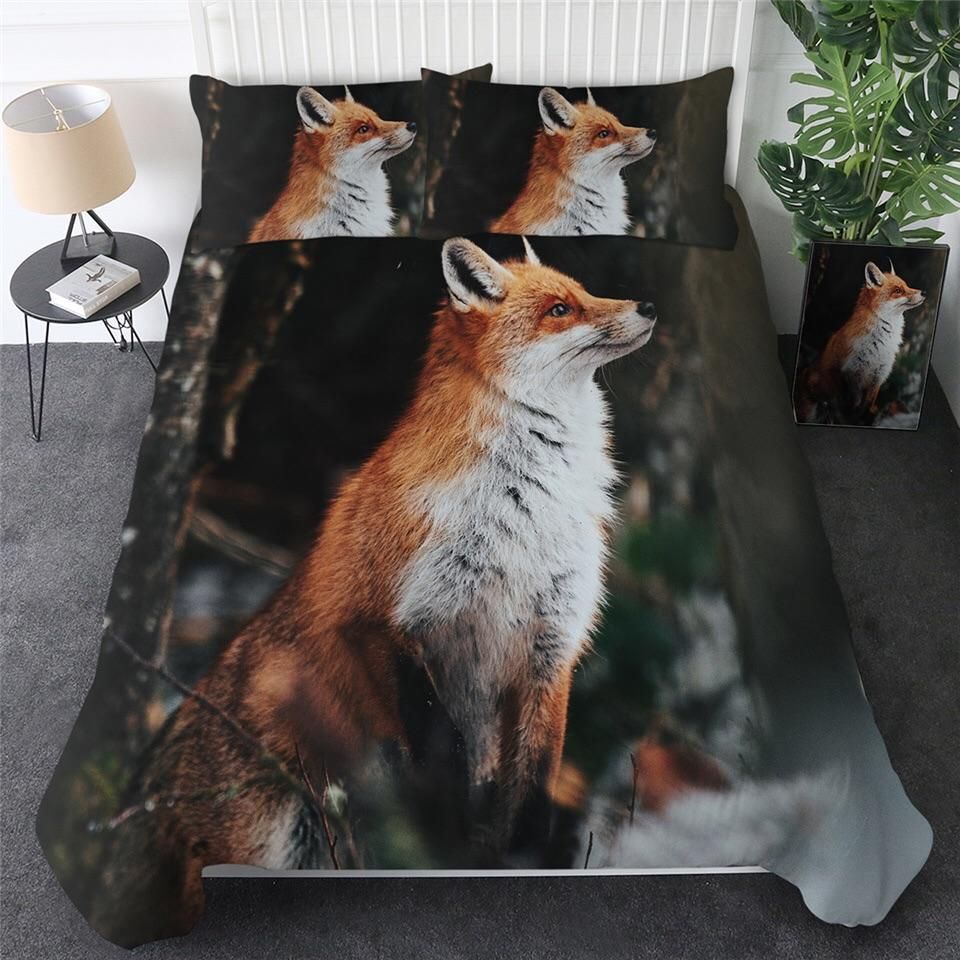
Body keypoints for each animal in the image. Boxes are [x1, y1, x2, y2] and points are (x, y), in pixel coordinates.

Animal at [94, 238, 656, 944]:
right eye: (560, 309)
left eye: (583, 291)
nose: (649, 305)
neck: (523, 514)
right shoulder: (383, 621)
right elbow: (441, 754)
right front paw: (455, 848)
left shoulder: (551, 647)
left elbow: (532, 785)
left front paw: (520, 859)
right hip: (279, 840)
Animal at [796, 260, 924, 423]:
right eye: (898, 290)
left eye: (907, 285)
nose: (923, 292)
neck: (879, 345)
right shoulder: (847, 376)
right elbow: (847, 413)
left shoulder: (877, 379)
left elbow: (863, 412)